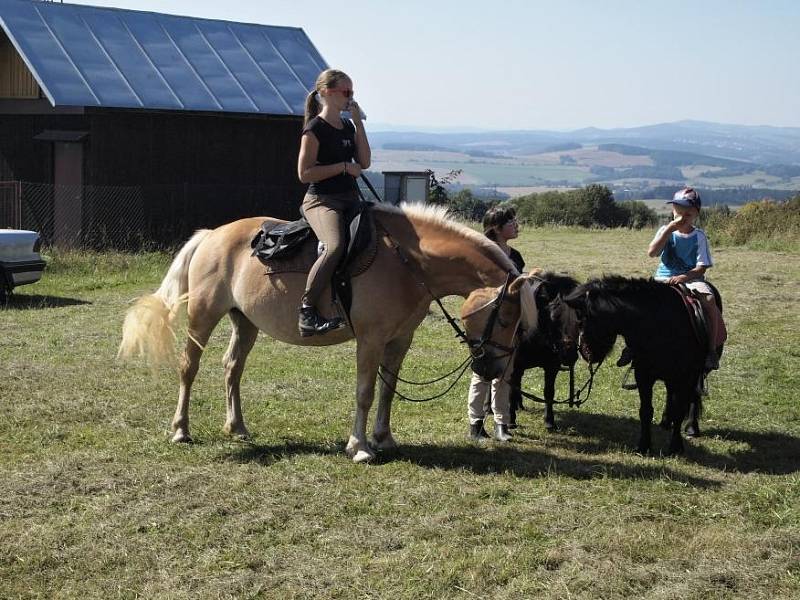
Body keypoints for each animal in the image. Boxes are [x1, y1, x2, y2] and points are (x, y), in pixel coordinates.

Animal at [117, 204, 536, 462]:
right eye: (503, 318)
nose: (494, 370)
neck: (407, 262)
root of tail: (210, 235)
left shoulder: (400, 340)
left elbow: (387, 391)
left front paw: (384, 439)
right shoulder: (370, 339)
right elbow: (366, 392)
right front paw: (360, 447)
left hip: (245, 321)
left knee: (232, 368)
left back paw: (237, 427)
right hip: (203, 316)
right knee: (189, 367)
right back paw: (181, 430)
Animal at [510, 272, 580, 432]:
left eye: (579, 318)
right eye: (554, 317)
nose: (570, 355)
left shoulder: (552, 367)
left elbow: (549, 392)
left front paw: (550, 422)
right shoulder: (513, 366)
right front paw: (510, 421)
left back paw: (519, 405)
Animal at [556, 276, 708, 454]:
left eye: (580, 321)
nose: (586, 354)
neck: (659, 325)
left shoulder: (685, 377)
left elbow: (679, 411)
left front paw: (675, 448)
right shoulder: (643, 375)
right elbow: (646, 411)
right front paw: (643, 446)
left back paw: (690, 427)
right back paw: (665, 422)